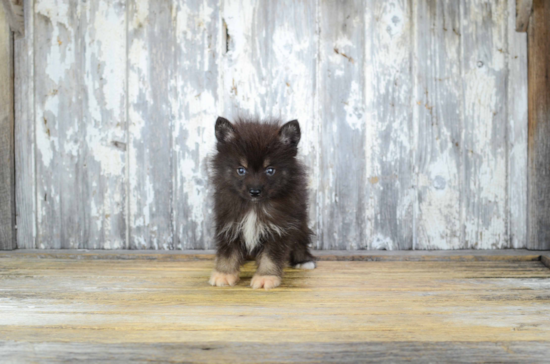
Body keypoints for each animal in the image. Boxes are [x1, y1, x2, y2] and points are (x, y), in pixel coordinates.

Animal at [209, 116, 316, 290]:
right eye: (241, 170)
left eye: (270, 170)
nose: (255, 191)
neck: (254, 205)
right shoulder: (229, 222)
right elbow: (227, 252)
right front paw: (223, 274)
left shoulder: (279, 227)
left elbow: (270, 256)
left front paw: (266, 277)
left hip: (301, 218)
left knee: (301, 238)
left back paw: (304, 260)